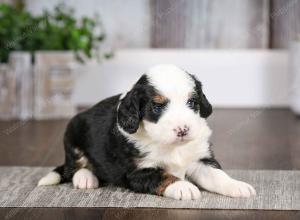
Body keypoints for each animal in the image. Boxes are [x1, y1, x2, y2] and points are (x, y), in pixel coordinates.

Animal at [38, 64, 255, 200]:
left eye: (192, 102)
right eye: (157, 107)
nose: (183, 130)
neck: (171, 146)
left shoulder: (200, 158)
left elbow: (217, 176)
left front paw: (237, 185)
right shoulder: (137, 171)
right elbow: (163, 176)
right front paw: (183, 186)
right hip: (73, 134)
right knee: (73, 167)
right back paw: (85, 178)